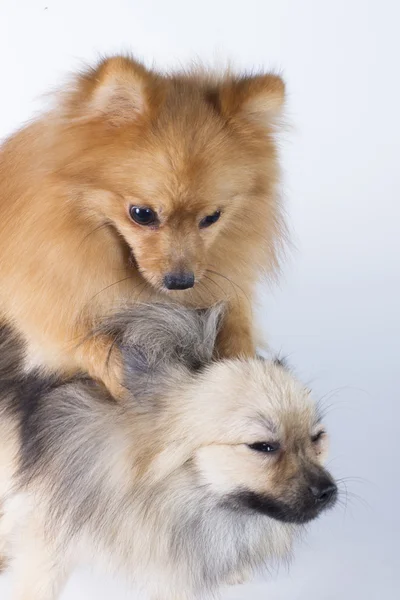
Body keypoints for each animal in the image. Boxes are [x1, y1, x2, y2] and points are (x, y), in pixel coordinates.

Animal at [0, 55, 286, 394]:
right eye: (142, 214)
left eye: (212, 218)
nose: (180, 282)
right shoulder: (46, 314)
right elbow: (97, 349)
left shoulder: (228, 291)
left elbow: (239, 330)